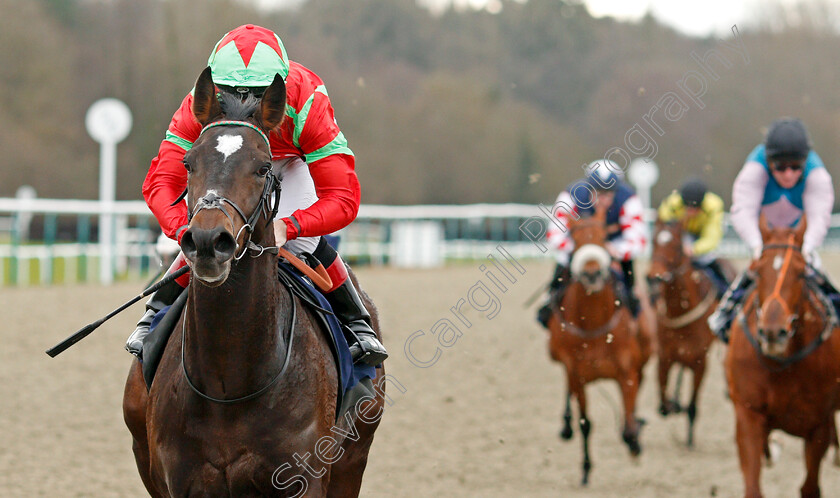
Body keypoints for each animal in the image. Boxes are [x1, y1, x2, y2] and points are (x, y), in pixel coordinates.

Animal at [544, 201, 656, 482]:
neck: (594, 324)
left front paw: (635, 444)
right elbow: (585, 423)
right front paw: (585, 468)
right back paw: (566, 424)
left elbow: (628, 426)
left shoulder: (627, 371)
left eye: (604, 236)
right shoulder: (577, 373)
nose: (592, 273)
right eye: (574, 238)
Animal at [648, 220, 732, 446]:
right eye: (652, 242)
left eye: (677, 246)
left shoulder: (700, 362)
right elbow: (662, 405)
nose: (653, 277)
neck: (680, 309)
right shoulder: (664, 356)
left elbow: (693, 406)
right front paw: (674, 404)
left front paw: (689, 439)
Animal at [724, 215, 840, 498]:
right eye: (757, 270)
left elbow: (810, 486)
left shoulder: (818, 425)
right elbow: (753, 485)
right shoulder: (749, 414)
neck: (783, 363)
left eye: (800, 272)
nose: (773, 332)